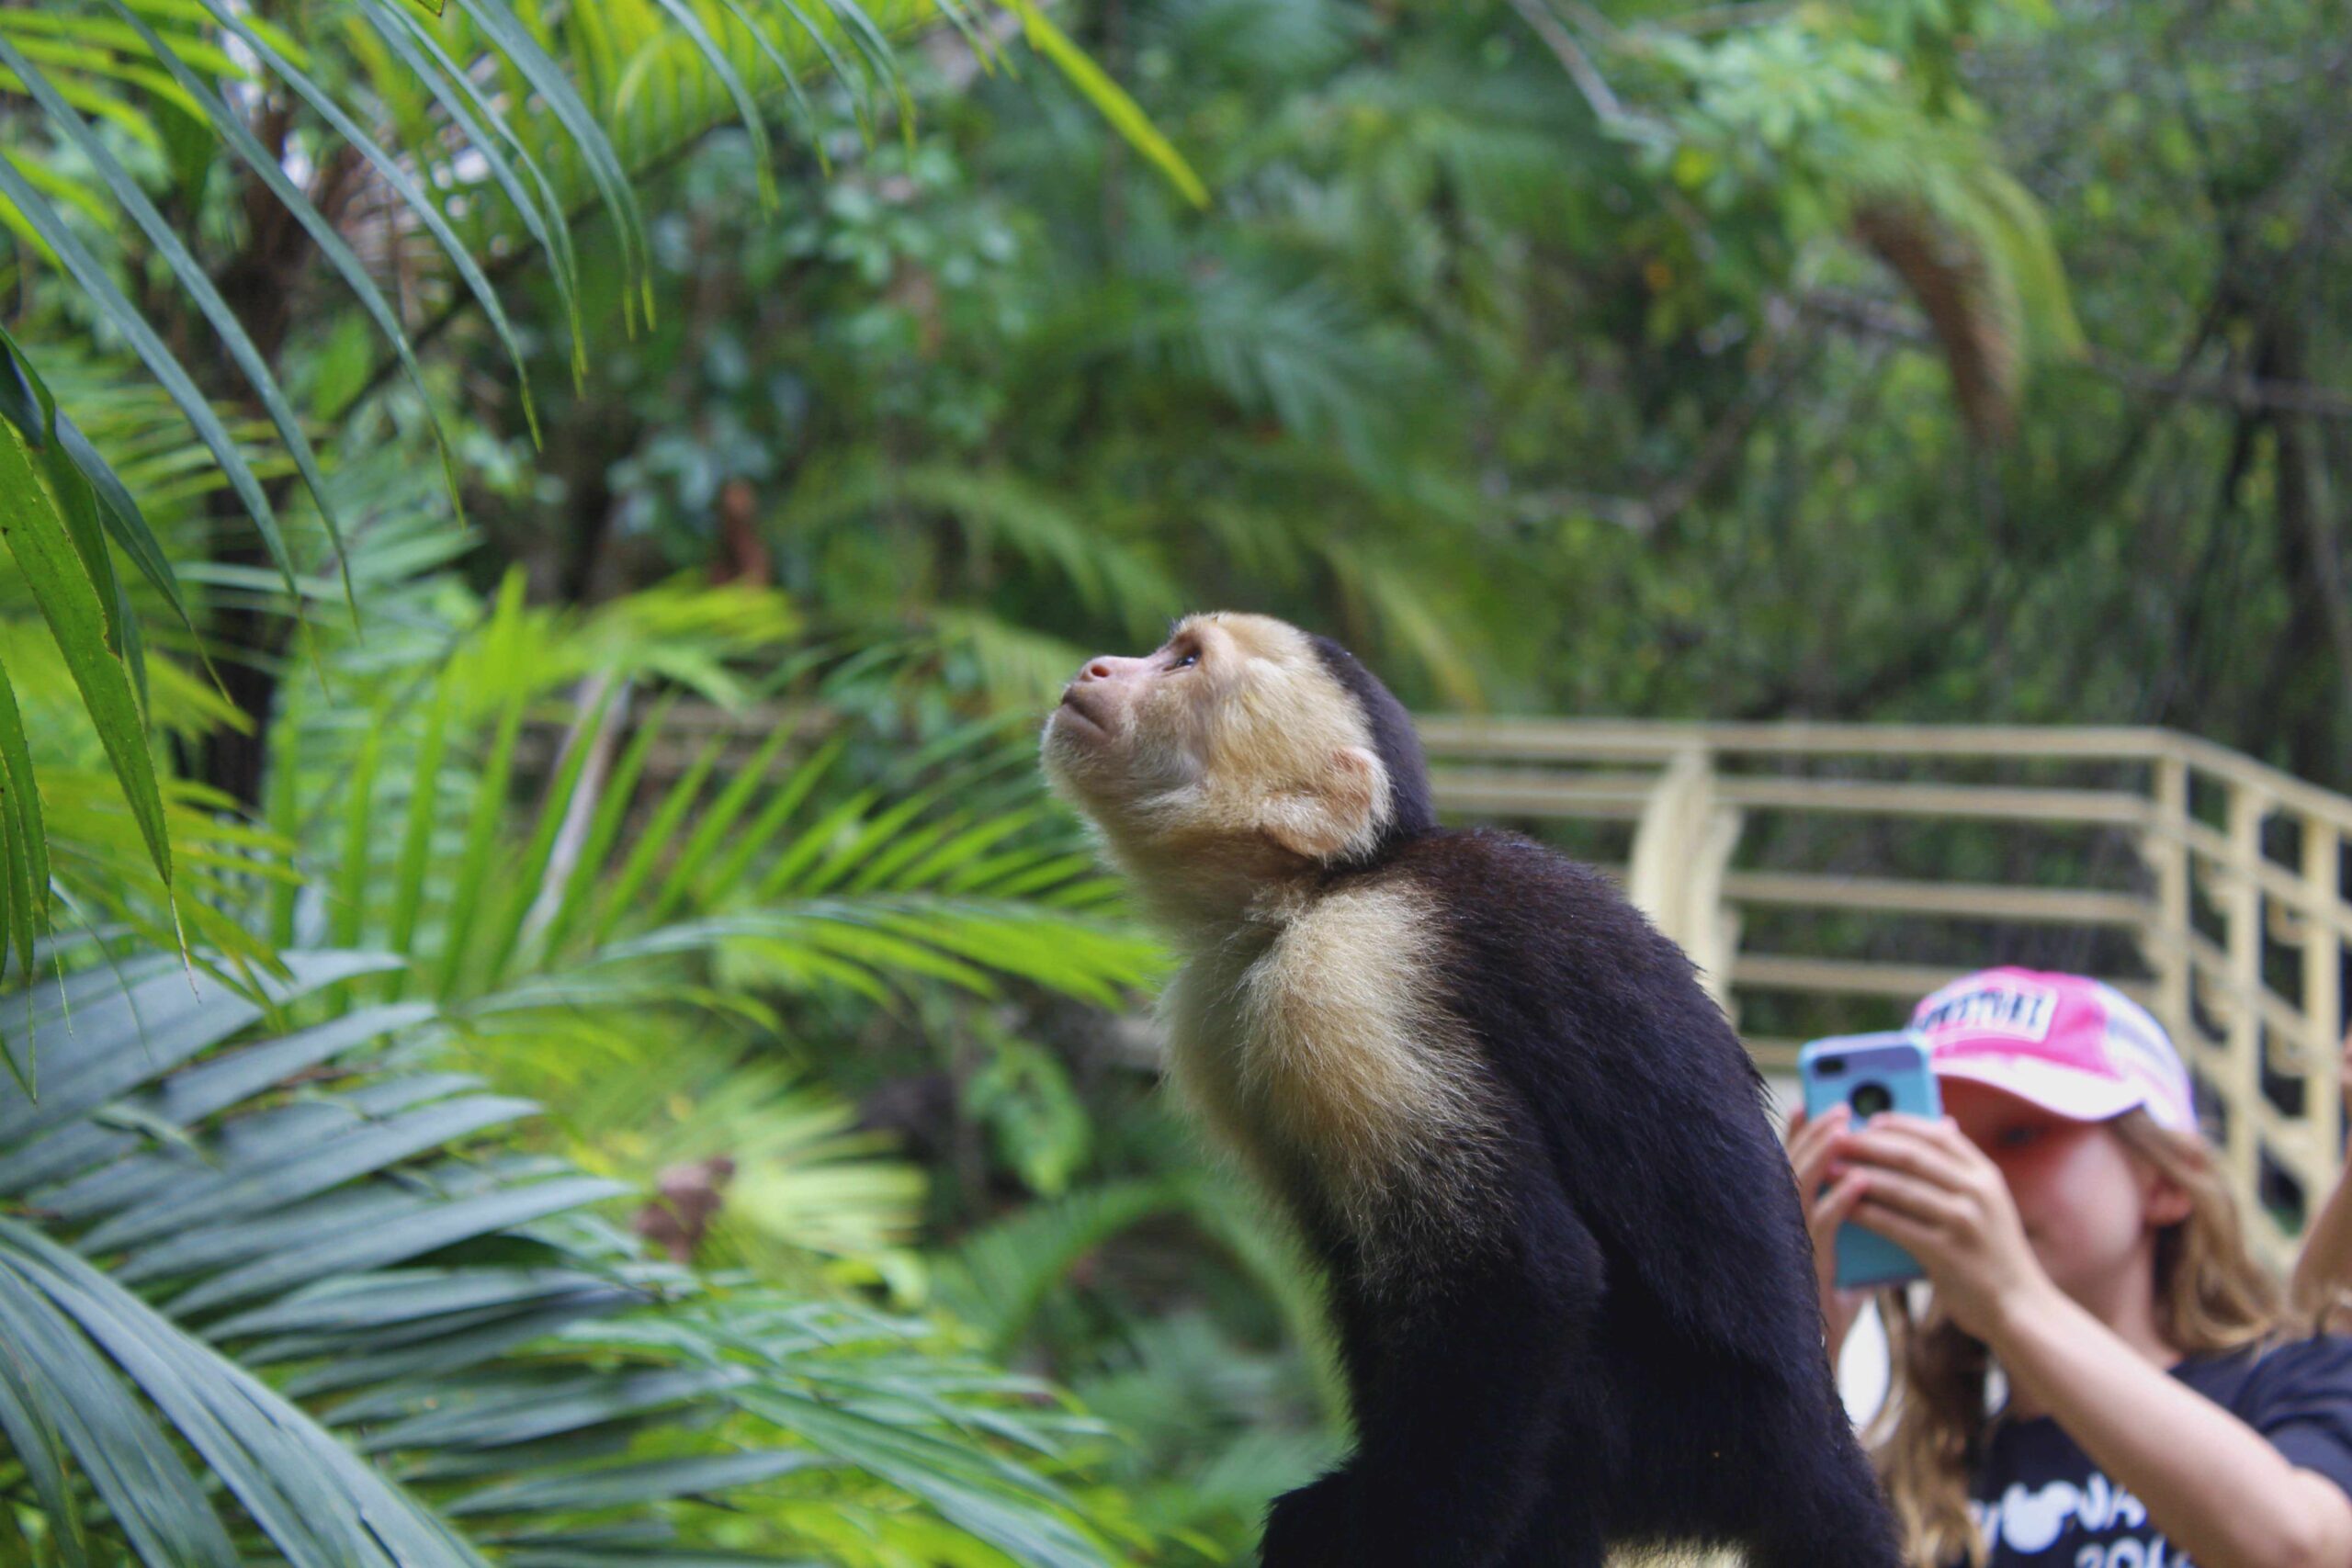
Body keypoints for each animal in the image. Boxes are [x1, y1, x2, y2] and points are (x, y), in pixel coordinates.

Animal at [1039, 615, 1900, 1568]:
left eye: (1185, 661)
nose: (1098, 667)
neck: (1320, 889)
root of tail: (1822, 1449)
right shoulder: (1212, 1018)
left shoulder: (1351, 970)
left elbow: (1523, 1278)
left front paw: (1388, 1534)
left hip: (1696, 1446)